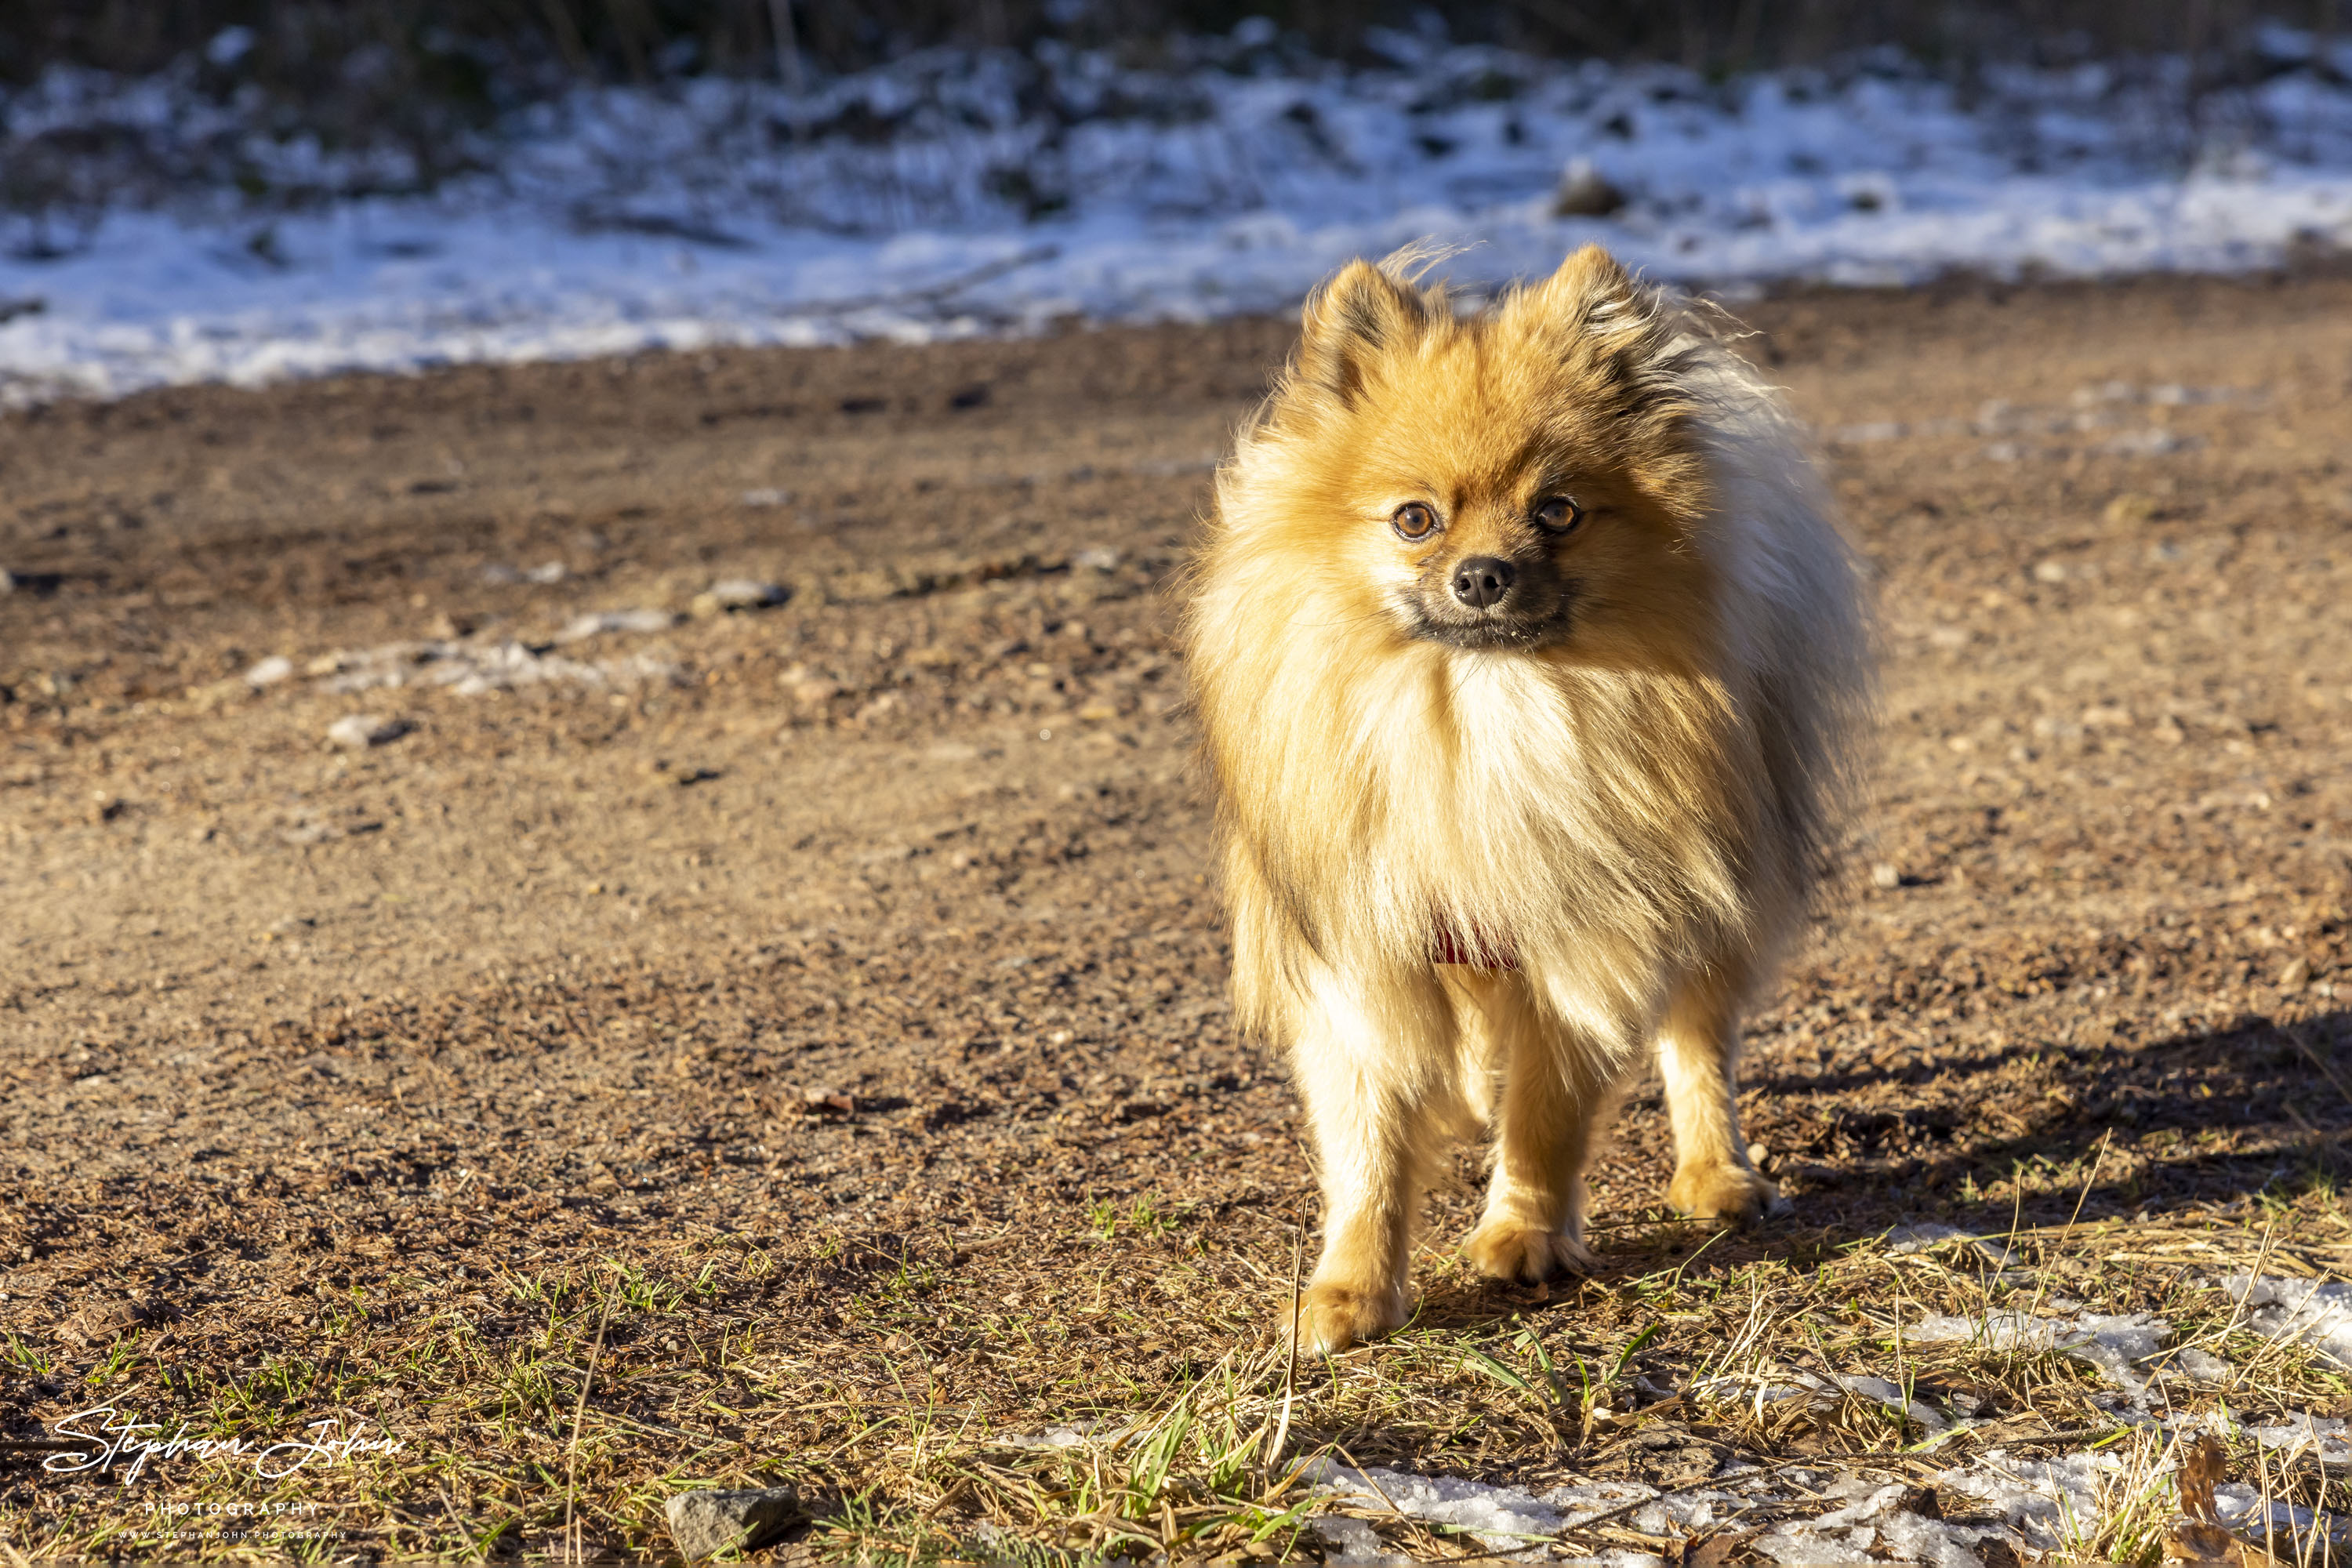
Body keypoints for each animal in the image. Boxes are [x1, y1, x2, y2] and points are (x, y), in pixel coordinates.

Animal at [1185, 245, 1863, 1363]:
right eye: (1415, 518)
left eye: (1558, 511)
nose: (1482, 575)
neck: (1483, 719)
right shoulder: (1367, 953)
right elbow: (1369, 1139)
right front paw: (1350, 1286)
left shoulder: (1585, 939)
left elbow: (1547, 1111)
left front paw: (1523, 1233)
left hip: (1717, 897)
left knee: (1698, 1038)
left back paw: (1716, 1173)